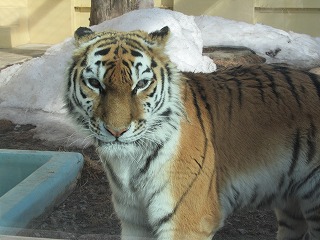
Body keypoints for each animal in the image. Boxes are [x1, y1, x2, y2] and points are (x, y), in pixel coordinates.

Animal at [65, 25, 320, 239]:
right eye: (94, 83)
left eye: (141, 84)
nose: (116, 131)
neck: (129, 164)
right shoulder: (133, 220)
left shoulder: (186, 221)